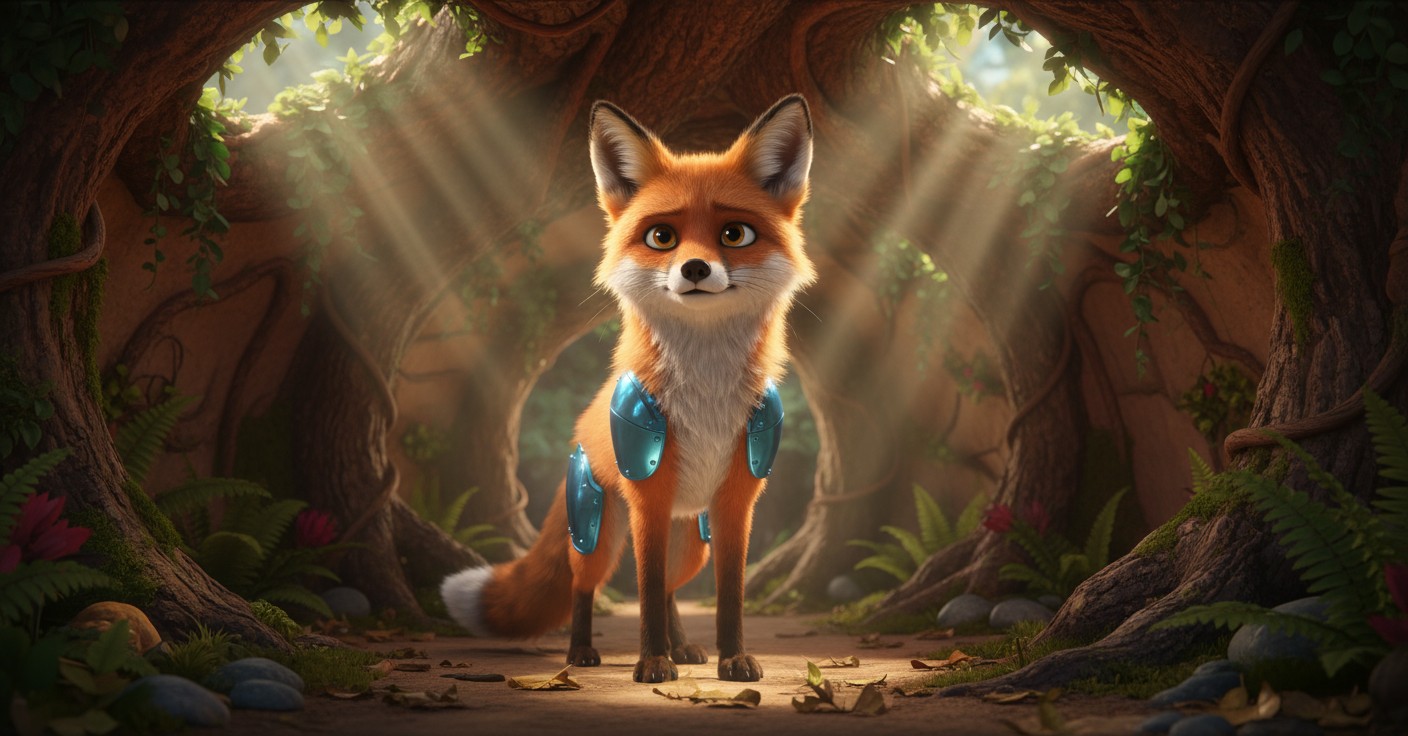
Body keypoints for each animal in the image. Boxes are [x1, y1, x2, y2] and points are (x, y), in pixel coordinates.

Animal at [441, 94, 816, 684]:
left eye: (735, 234)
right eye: (662, 237)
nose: (694, 268)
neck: (706, 396)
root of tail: (579, 425)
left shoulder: (737, 500)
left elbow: (727, 596)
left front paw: (731, 658)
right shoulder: (648, 499)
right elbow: (642, 593)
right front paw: (652, 662)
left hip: (692, 544)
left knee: (670, 588)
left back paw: (684, 648)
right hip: (598, 530)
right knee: (585, 585)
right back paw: (581, 653)